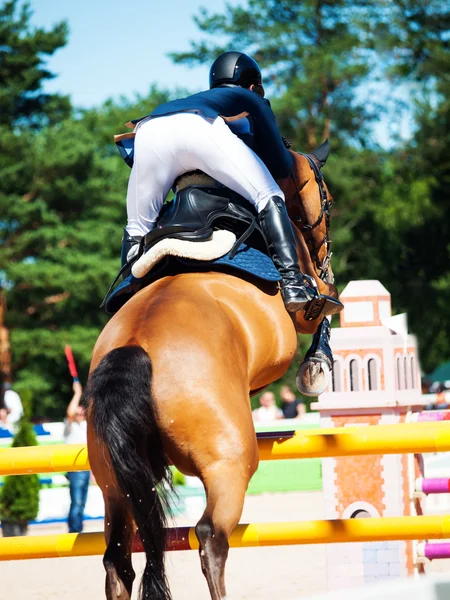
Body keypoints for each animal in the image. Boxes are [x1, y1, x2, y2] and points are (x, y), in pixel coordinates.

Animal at [82, 145, 340, 600]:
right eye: (325, 198)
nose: (326, 253)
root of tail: (134, 348)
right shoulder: (306, 296)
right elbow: (324, 308)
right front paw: (317, 367)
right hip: (228, 463)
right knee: (210, 538)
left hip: (114, 483)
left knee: (118, 560)